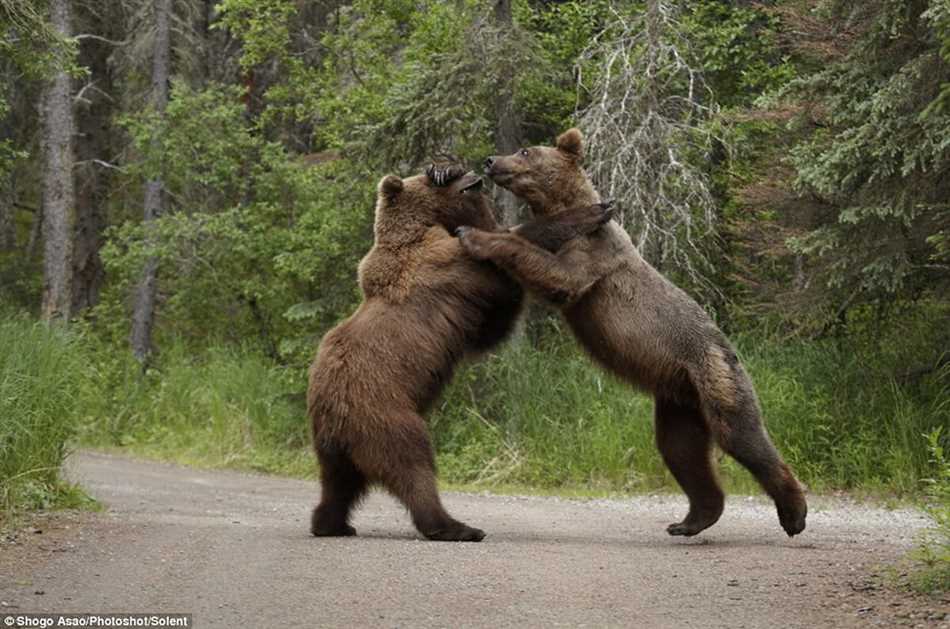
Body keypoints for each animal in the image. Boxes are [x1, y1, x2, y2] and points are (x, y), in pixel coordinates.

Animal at [308, 163, 612, 540]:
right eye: (452, 177)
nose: (473, 173)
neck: (419, 230)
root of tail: (333, 416)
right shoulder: (450, 269)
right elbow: (502, 272)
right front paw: (594, 211)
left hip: (332, 444)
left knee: (339, 484)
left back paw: (332, 524)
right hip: (382, 412)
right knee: (411, 463)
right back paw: (455, 526)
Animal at [458, 130, 808, 536]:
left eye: (525, 150)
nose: (490, 160)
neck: (562, 204)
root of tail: (728, 351)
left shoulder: (595, 253)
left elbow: (559, 276)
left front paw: (474, 236)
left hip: (714, 372)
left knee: (740, 433)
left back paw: (794, 513)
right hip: (680, 398)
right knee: (681, 450)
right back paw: (691, 520)